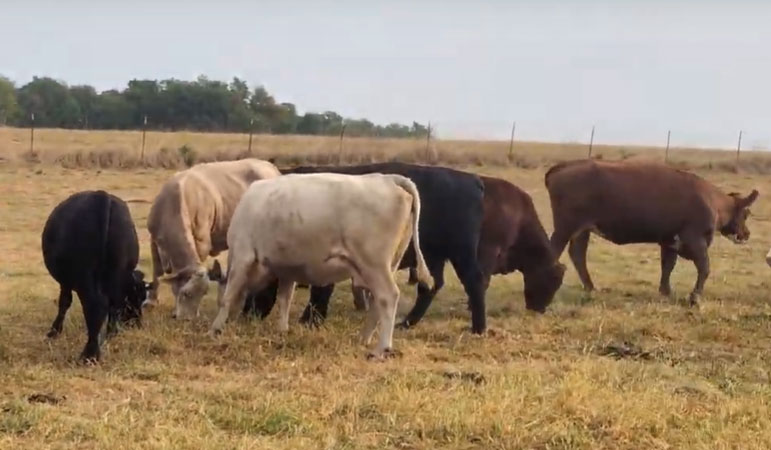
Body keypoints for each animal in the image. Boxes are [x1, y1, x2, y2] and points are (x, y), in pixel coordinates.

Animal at [41, 190, 153, 363]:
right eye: (137, 298)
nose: (136, 323)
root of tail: (102, 196)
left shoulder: (66, 282)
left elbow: (64, 302)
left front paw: (54, 331)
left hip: (84, 277)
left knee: (94, 306)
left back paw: (90, 354)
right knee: (111, 305)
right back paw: (108, 337)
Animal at [146, 158, 281, 319]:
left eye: (203, 294)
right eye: (186, 293)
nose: (188, 319)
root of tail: (269, 165)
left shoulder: (202, 243)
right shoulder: (154, 239)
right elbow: (157, 271)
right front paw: (151, 302)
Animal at [203, 172, 433, 359]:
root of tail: (389, 178)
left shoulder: (243, 256)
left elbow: (227, 297)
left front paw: (215, 328)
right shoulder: (287, 270)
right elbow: (284, 300)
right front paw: (282, 330)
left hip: (374, 265)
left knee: (388, 297)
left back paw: (381, 348)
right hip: (387, 265)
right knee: (378, 302)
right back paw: (364, 338)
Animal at [246, 166, 565, 333]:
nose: (247, 314)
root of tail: (473, 182)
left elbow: (321, 289)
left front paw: (309, 319)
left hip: (460, 254)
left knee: (474, 283)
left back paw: (477, 327)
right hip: (434, 257)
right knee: (431, 286)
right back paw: (407, 322)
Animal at [545, 159, 759, 306]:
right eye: (746, 214)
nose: (747, 234)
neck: (712, 201)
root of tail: (564, 166)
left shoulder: (669, 242)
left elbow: (668, 266)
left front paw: (666, 291)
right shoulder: (696, 241)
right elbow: (704, 268)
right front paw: (694, 298)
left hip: (582, 230)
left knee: (578, 255)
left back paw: (590, 287)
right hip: (565, 228)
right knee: (556, 251)